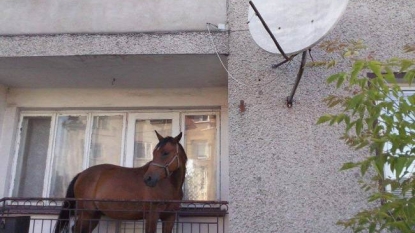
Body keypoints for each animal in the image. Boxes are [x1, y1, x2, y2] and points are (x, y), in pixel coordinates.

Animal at [54, 132, 188, 232]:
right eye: (154, 153)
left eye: (165, 153)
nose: (148, 179)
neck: (169, 186)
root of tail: (81, 174)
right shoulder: (152, 215)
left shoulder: (169, 217)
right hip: (86, 213)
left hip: (94, 215)